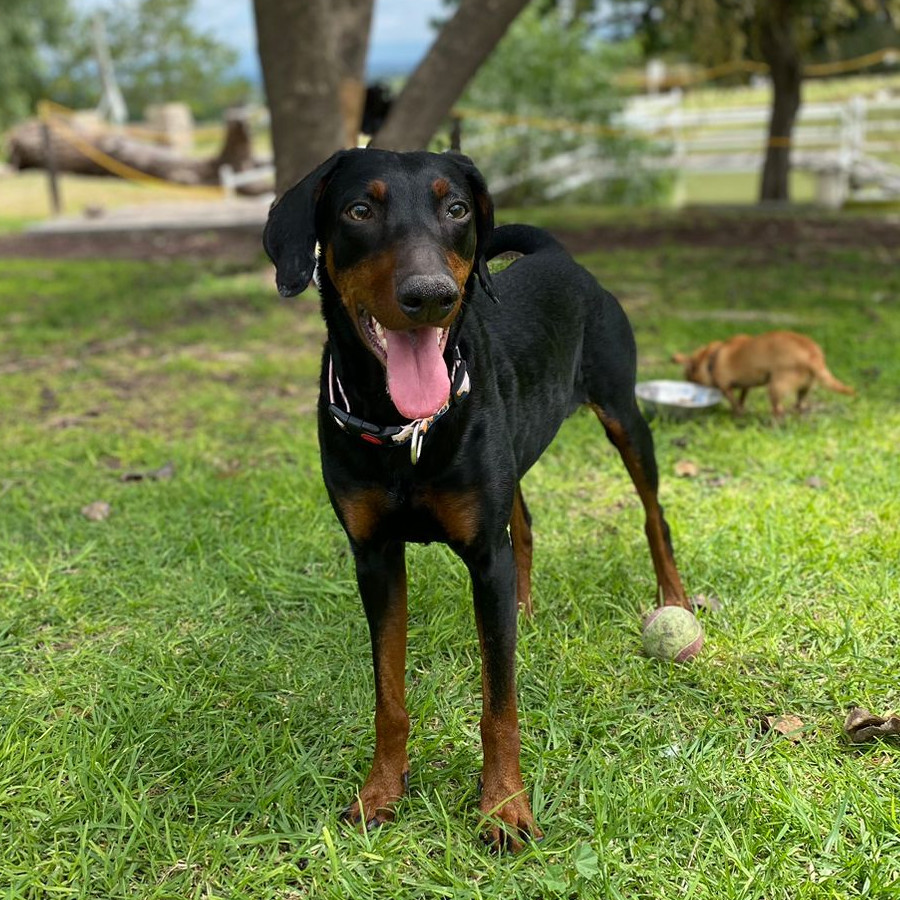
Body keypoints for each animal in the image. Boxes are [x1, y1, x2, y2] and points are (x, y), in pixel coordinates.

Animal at [262, 148, 688, 852]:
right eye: (359, 209)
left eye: (456, 208)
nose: (430, 295)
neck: (403, 426)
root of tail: (561, 257)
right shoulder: (374, 556)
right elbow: (388, 694)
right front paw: (381, 793)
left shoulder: (485, 555)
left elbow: (499, 703)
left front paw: (505, 809)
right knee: (527, 522)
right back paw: (525, 609)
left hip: (624, 413)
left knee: (654, 516)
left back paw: (673, 597)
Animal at [672, 328, 856, 416]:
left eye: (689, 378)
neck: (712, 357)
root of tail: (813, 355)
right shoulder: (745, 386)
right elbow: (742, 397)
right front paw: (742, 409)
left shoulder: (725, 387)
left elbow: (734, 402)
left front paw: (737, 414)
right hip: (805, 387)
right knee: (799, 404)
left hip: (775, 386)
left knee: (778, 410)